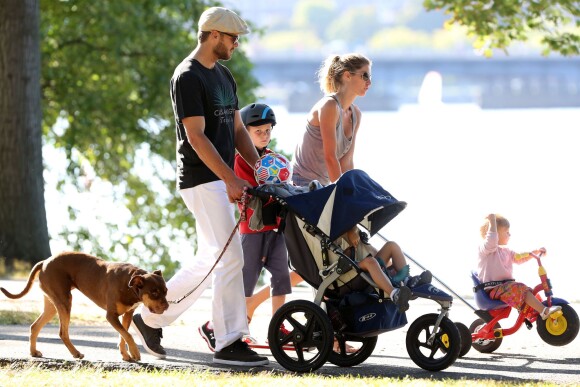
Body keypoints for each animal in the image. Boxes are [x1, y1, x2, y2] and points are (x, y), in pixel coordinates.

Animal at [0, 253, 169, 362]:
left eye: (166, 291)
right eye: (154, 292)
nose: (167, 306)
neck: (129, 283)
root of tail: (44, 262)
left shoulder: (127, 314)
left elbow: (123, 335)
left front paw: (125, 354)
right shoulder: (111, 315)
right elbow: (128, 335)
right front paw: (135, 353)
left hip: (52, 305)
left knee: (35, 326)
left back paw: (33, 352)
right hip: (65, 301)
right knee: (62, 332)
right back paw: (76, 353)